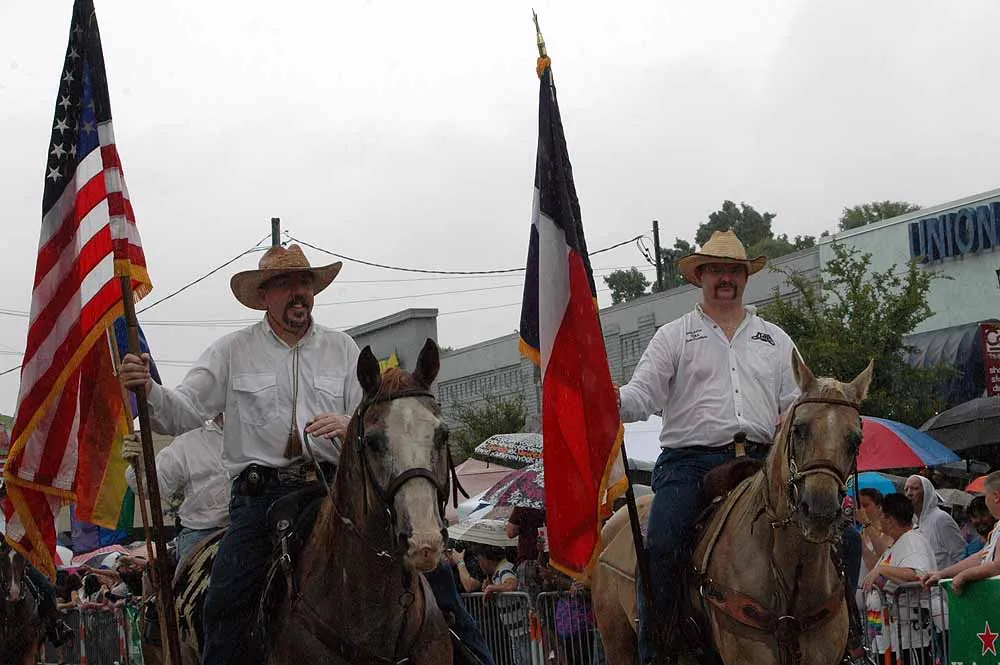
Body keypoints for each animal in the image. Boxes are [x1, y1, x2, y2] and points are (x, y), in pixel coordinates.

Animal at [592, 352, 873, 665]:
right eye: (799, 429)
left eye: (855, 440)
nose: (819, 511)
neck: (788, 563)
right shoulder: (749, 654)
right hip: (617, 640)